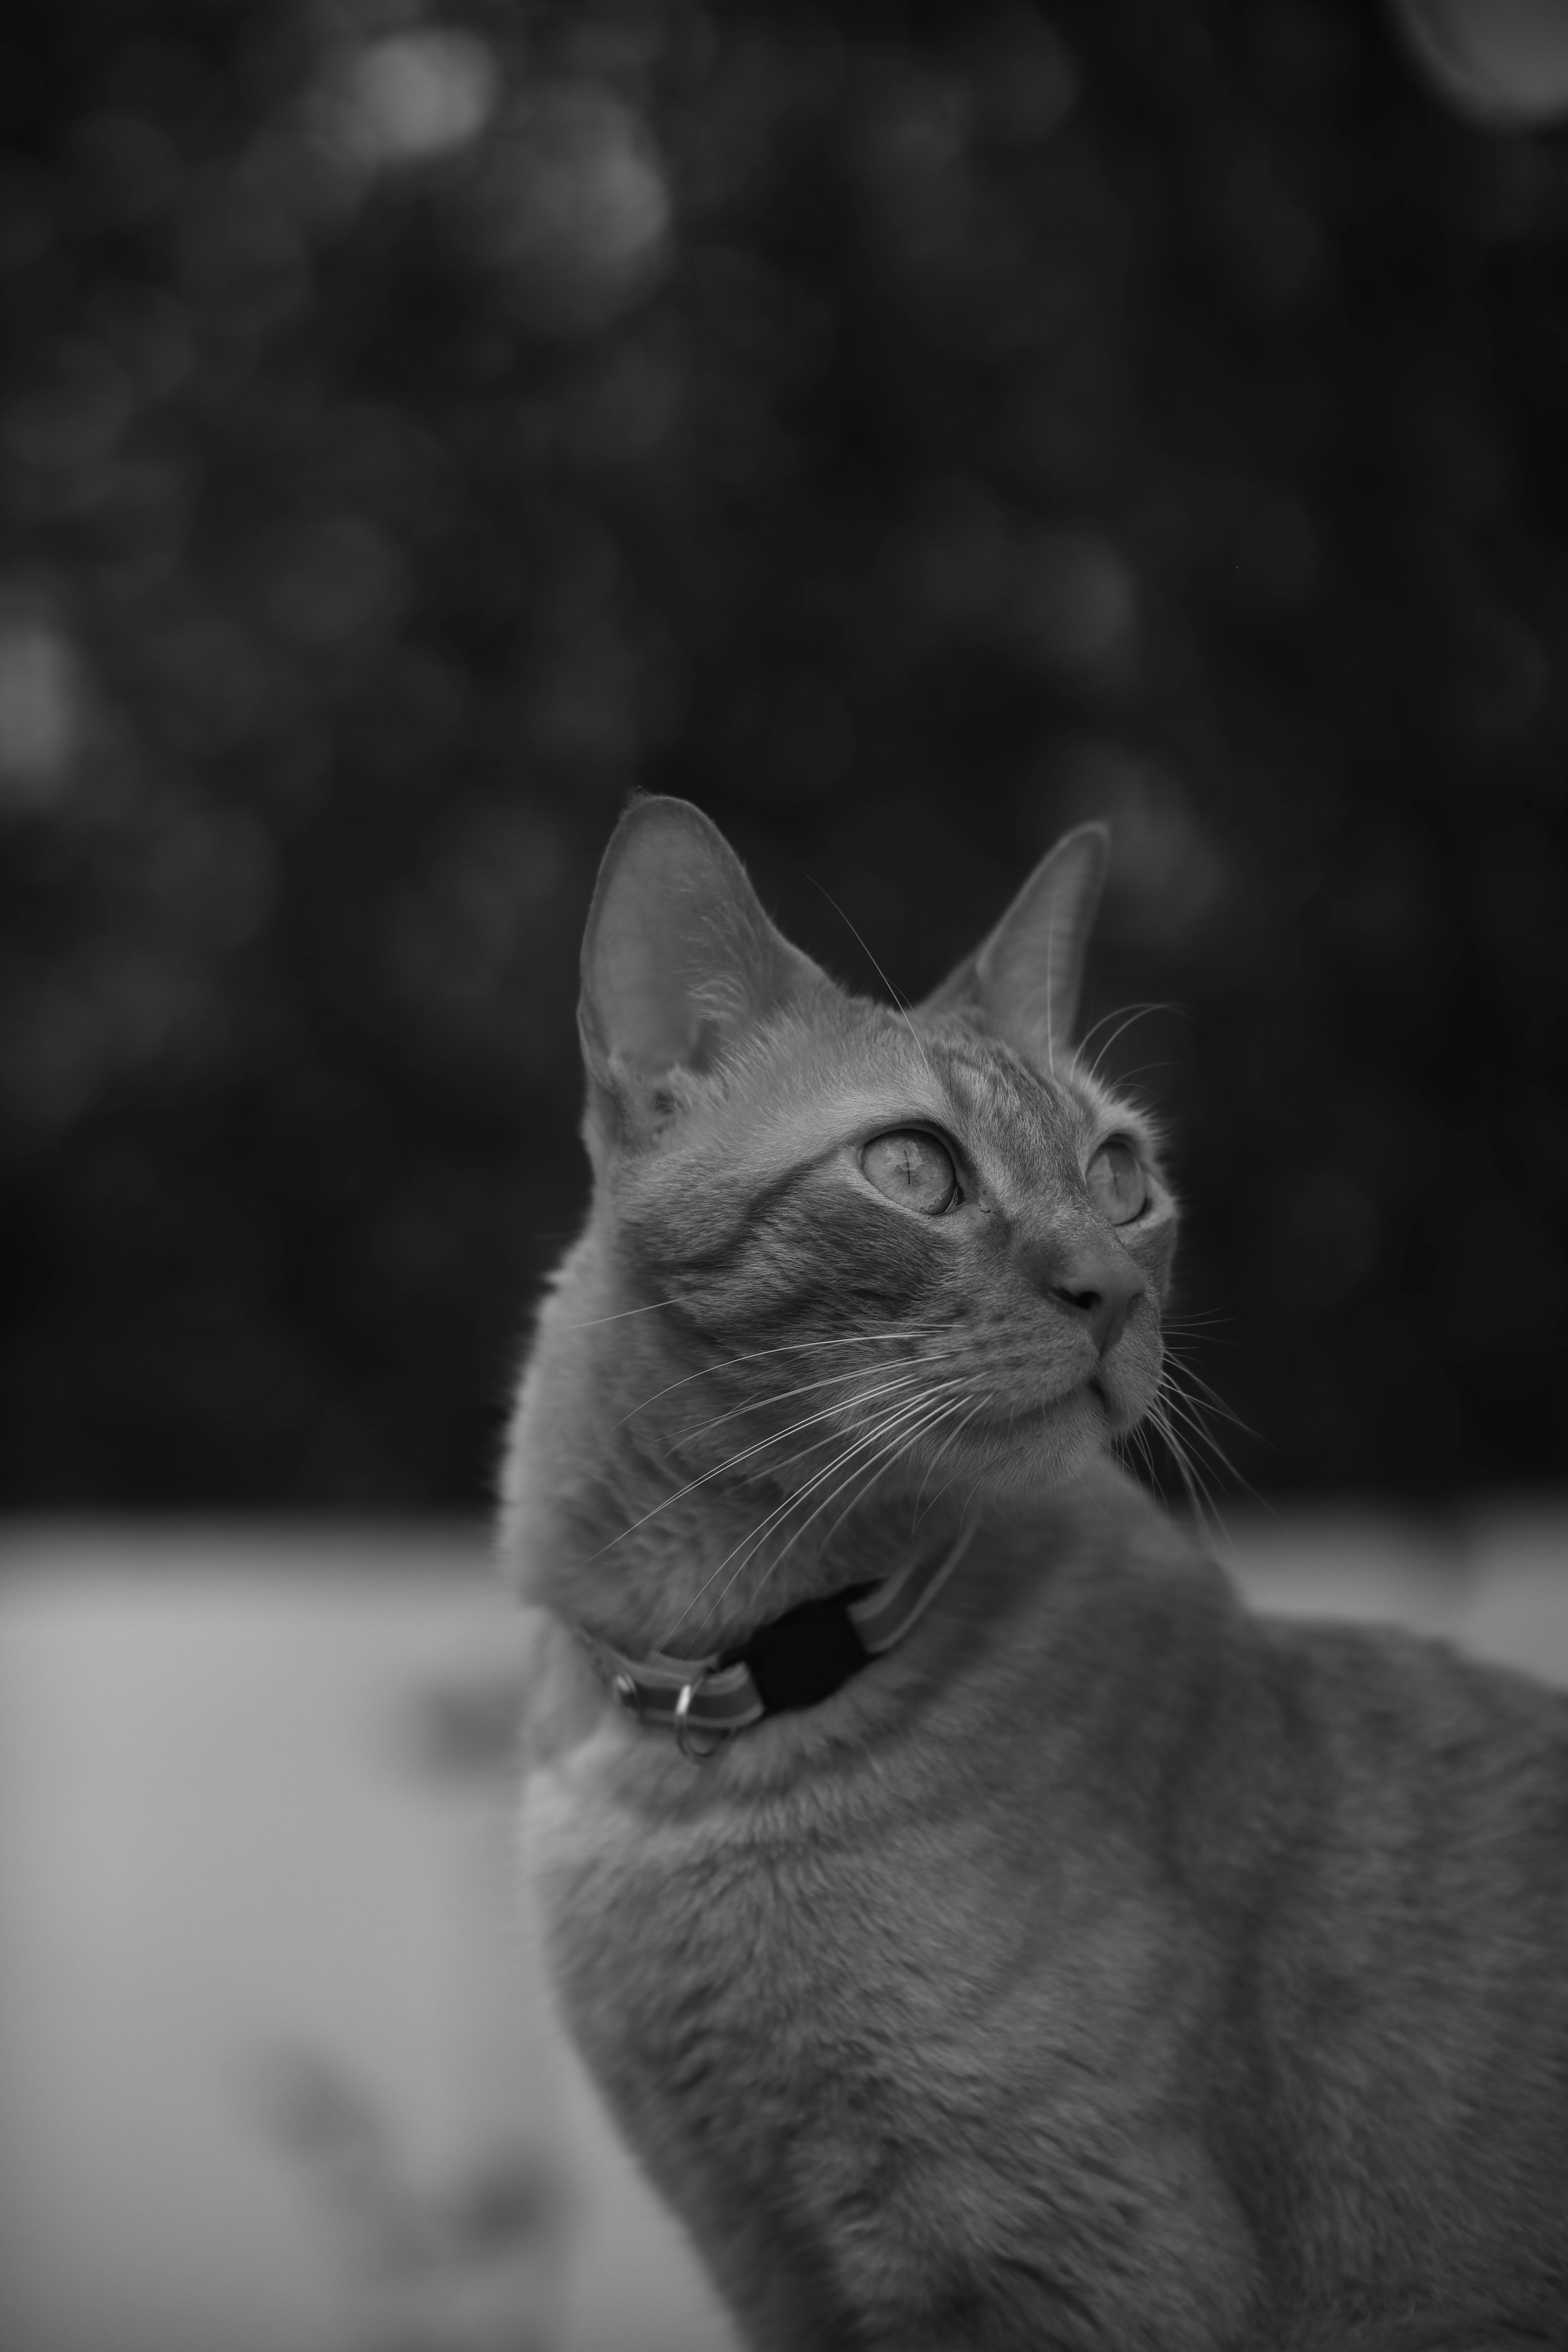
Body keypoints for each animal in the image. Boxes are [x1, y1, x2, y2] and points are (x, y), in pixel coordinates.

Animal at [503, 800, 1568, 2343]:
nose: (1112, 1294)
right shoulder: (767, 2262)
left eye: (1119, 1178)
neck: (714, 1718)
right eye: (911, 1168)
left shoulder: (1070, 2266)